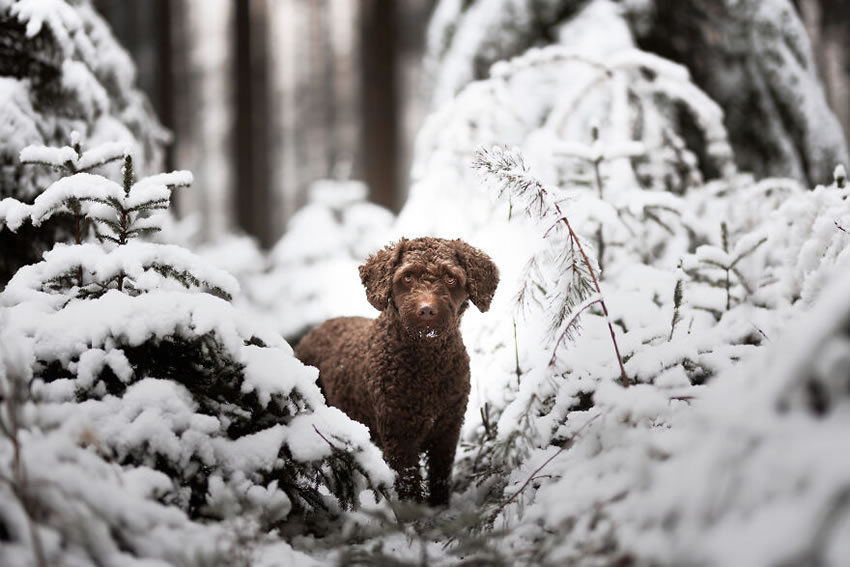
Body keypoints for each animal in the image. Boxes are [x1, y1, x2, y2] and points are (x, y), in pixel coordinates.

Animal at [296, 236, 500, 506]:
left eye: (450, 277)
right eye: (408, 277)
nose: (426, 310)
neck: (428, 368)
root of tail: (315, 330)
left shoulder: (448, 431)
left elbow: (440, 479)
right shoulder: (399, 438)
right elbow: (409, 488)